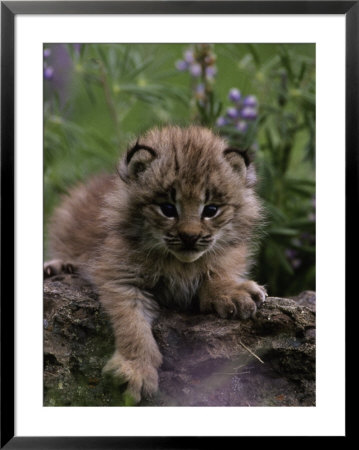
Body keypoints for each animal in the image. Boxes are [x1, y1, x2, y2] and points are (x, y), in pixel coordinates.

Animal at [45, 125, 268, 402]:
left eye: (211, 210)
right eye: (168, 209)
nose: (189, 237)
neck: (180, 264)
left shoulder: (228, 254)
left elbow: (217, 270)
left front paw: (232, 292)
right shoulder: (121, 277)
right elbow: (133, 326)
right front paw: (136, 371)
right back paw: (57, 266)